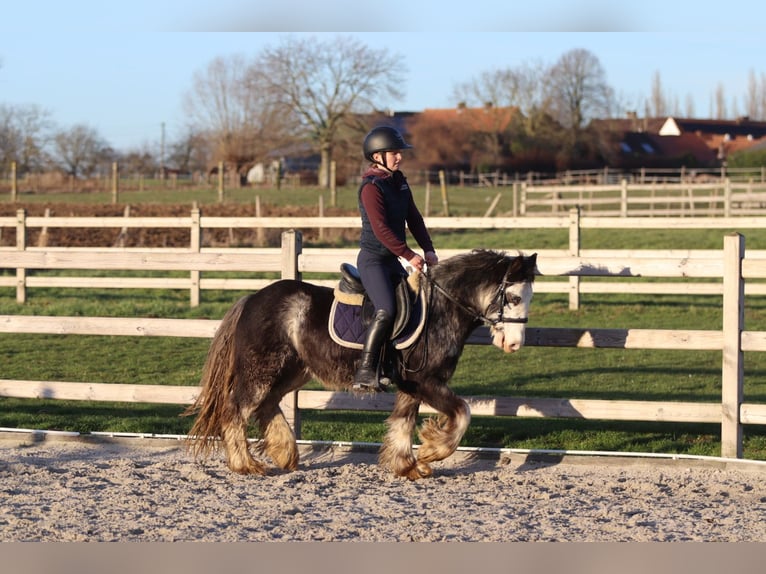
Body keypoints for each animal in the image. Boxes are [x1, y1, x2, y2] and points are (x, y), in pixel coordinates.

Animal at [184, 249, 537, 480]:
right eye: (514, 298)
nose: (514, 344)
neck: (440, 308)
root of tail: (252, 299)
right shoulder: (425, 382)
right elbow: (462, 413)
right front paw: (430, 451)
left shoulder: (413, 384)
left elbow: (402, 423)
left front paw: (408, 465)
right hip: (262, 371)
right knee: (235, 410)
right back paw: (245, 464)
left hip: (292, 371)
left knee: (267, 406)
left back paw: (285, 453)